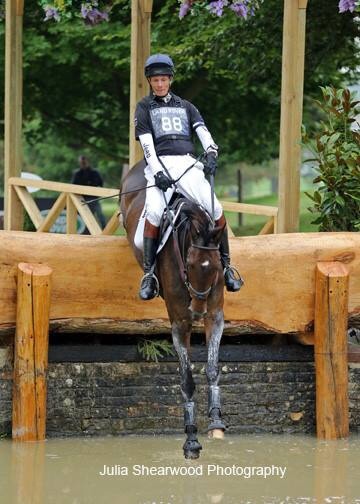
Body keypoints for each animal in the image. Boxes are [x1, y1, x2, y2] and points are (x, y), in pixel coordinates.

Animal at [119, 159, 226, 458]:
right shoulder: (180, 324)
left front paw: (216, 420)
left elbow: (212, 366)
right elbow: (186, 378)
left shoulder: (216, 316)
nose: (198, 310)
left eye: (216, 266)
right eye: (188, 264)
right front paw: (191, 440)